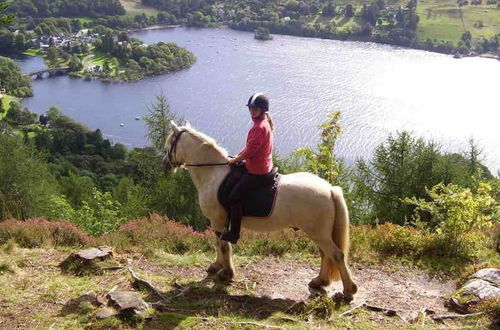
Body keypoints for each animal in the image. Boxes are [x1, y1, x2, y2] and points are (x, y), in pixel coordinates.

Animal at [162, 121, 358, 302]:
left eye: (170, 143)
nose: (165, 164)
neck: (213, 174)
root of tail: (330, 189)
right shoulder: (218, 221)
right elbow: (219, 244)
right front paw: (217, 266)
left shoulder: (217, 220)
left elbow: (223, 245)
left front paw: (226, 273)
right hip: (319, 233)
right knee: (326, 255)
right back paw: (320, 281)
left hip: (318, 233)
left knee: (336, 255)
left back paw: (348, 291)